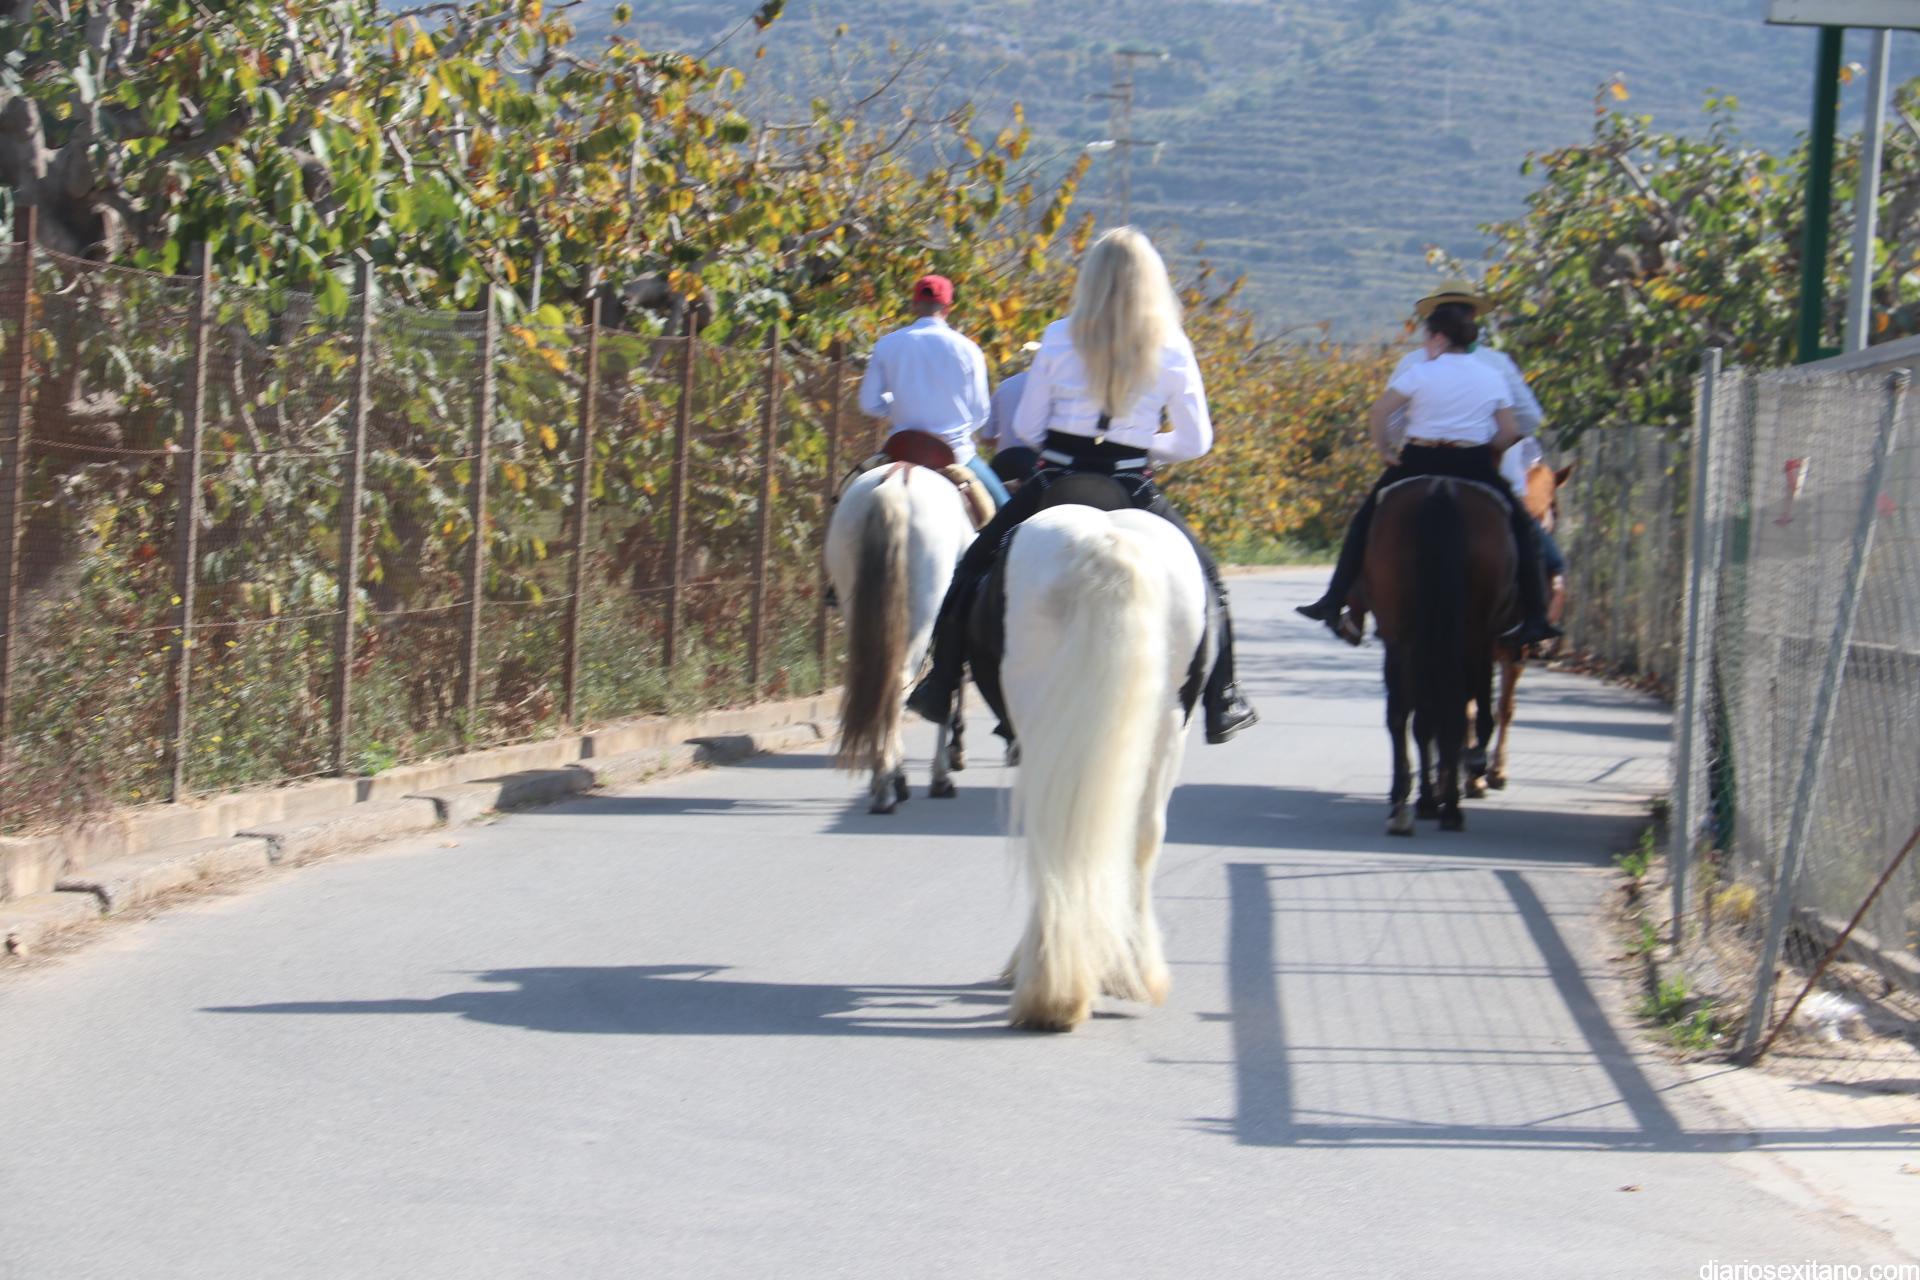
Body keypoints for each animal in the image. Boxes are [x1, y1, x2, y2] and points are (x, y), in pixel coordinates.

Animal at [824, 459, 975, 814]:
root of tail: (894, 483)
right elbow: (947, 687)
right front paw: (942, 774)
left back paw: (886, 777)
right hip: (923, 614)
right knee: (899, 684)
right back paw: (886, 787)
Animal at [964, 484, 1212, 1031]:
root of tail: (1105, 541)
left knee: (1050, 831)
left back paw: (1051, 990)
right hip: (1169, 725)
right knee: (1142, 835)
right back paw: (1122, 973)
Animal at [1364, 476, 1517, 834]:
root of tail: (1441, 489)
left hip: (1403, 638)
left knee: (1405, 714)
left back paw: (1408, 807)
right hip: (1465, 639)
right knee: (1448, 714)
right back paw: (1449, 802)